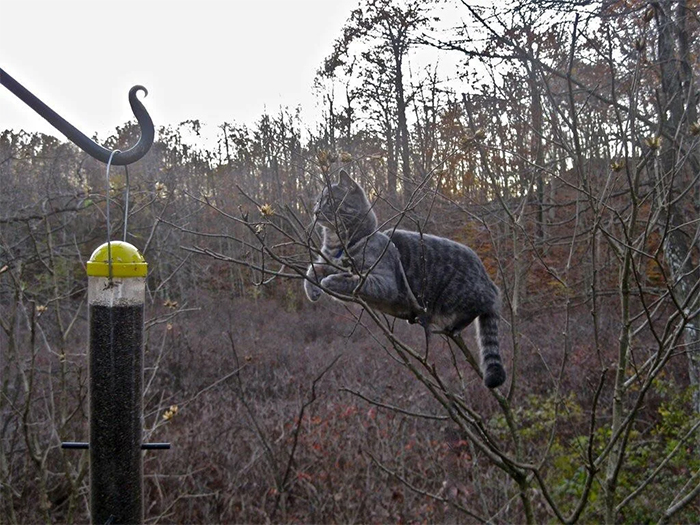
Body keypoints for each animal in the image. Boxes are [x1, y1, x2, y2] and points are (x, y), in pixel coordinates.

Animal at [304, 170, 506, 386]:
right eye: (318, 201)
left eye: (330, 200)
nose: (316, 211)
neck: (339, 246)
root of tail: (488, 279)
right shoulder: (324, 261)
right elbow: (312, 270)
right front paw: (312, 290)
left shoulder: (383, 282)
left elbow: (351, 280)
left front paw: (329, 282)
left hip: (458, 295)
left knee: (482, 305)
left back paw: (455, 326)